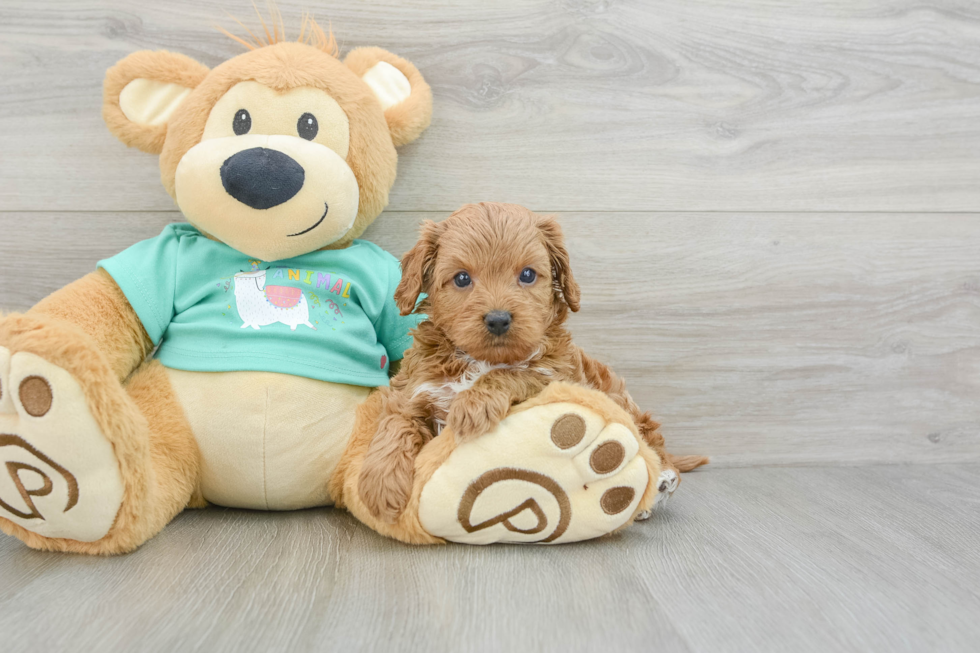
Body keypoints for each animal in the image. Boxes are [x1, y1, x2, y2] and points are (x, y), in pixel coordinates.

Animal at [360, 201, 704, 524]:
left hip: (618, 397)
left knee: (650, 439)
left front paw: (473, 404)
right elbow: (395, 423)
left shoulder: (555, 375)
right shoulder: (412, 388)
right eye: (461, 278)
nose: (498, 319)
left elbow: (516, 373)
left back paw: (661, 482)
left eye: (527, 274)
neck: (480, 360)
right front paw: (381, 485)